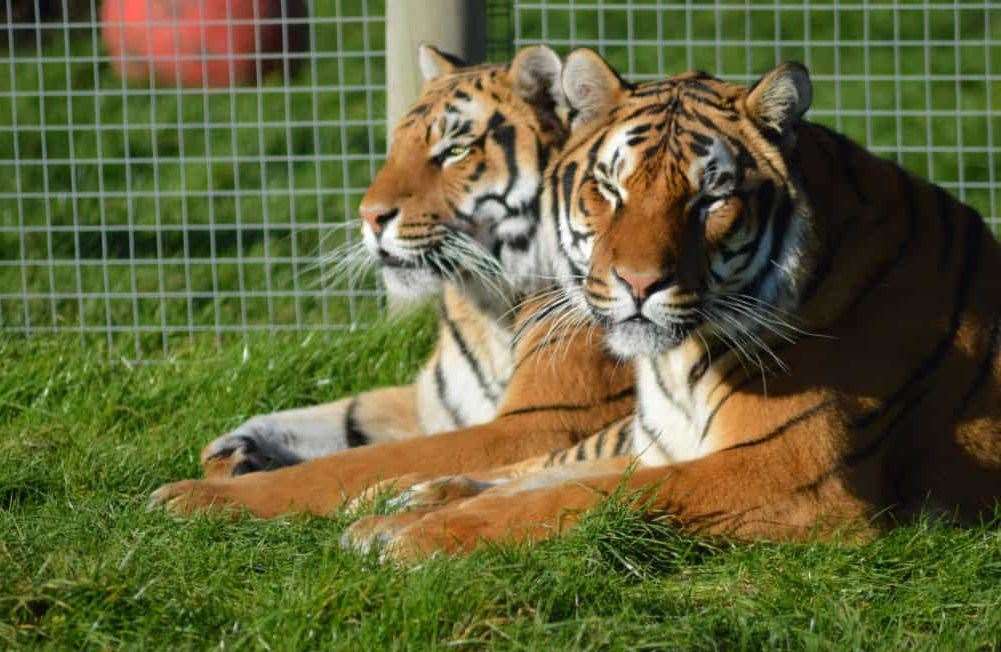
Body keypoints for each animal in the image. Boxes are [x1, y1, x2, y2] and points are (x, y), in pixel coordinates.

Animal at [146, 44, 632, 516]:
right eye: (395, 148)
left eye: (454, 152)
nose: (370, 216)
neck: (487, 308)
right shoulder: (432, 404)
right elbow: (342, 414)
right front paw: (236, 448)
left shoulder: (540, 422)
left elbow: (349, 464)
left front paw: (195, 495)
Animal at [340, 51, 996, 560]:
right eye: (610, 189)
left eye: (710, 199)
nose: (637, 284)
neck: (679, 366)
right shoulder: (658, 446)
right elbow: (551, 476)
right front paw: (394, 516)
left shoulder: (792, 474)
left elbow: (580, 495)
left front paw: (412, 536)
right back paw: (399, 492)